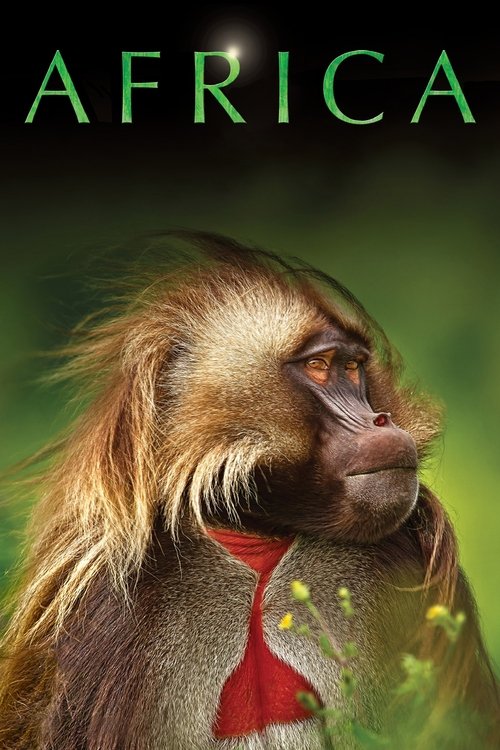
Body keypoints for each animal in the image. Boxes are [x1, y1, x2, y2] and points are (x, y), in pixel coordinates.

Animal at [0, 231, 498, 749]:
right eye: (319, 366)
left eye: (354, 368)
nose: (381, 420)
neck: (256, 540)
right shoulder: (105, 613)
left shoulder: (403, 558)